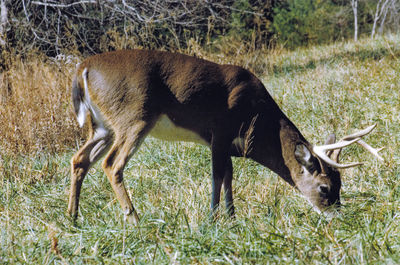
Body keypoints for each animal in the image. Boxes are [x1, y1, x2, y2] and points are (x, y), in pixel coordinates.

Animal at [67, 49, 382, 223]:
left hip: (103, 127)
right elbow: (218, 175)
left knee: (79, 159)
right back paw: (135, 220)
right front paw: (213, 219)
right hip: (133, 117)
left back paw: (72, 218)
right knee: (111, 164)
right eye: (325, 188)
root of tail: (83, 68)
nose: (337, 215)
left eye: (340, 184)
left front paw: (231, 217)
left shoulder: (227, 144)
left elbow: (229, 175)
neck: (258, 118)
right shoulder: (219, 132)